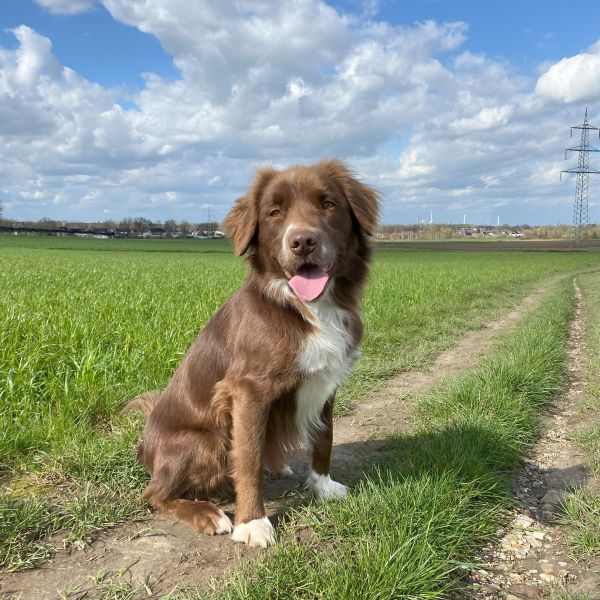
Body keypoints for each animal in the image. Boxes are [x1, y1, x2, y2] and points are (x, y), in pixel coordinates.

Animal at [123, 159, 380, 548]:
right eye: (274, 212)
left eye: (328, 204)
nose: (302, 241)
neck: (307, 307)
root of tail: (145, 447)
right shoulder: (248, 391)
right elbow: (248, 460)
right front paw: (252, 522)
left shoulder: (325, 383)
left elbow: (325, 438)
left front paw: (322, 486)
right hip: (206, 439)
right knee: (154, 494)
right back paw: (207, 513)